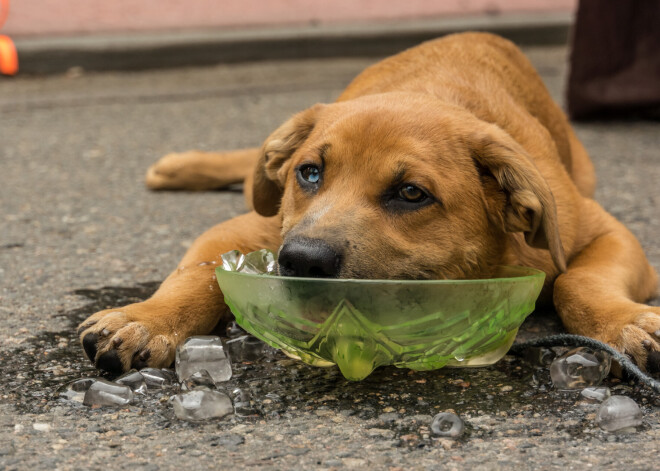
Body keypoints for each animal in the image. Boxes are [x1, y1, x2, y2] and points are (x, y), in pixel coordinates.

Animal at [78, 32, 660, 376]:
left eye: (410, 194)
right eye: (309, 173)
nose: (301, 262)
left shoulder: (604, 231)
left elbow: (577, 281)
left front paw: (626, 323)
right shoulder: (253, 226)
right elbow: (195, 275)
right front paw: (146, 319)